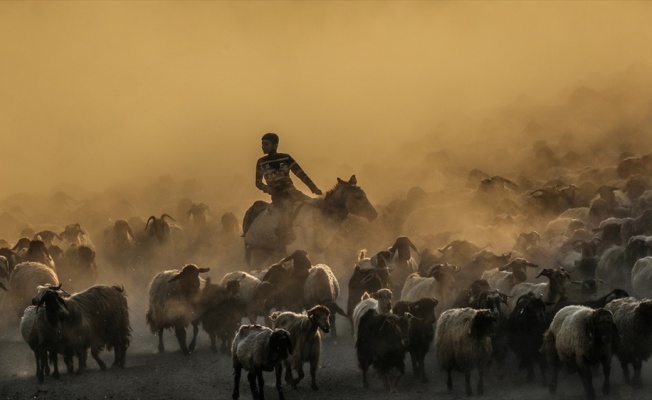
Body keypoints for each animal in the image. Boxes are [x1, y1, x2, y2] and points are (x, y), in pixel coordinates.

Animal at [243, 177, 376, 270]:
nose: (374, 214)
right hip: (257, 253)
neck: (321, 217)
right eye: (357, 196)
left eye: (364, 194)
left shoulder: (320, 253)